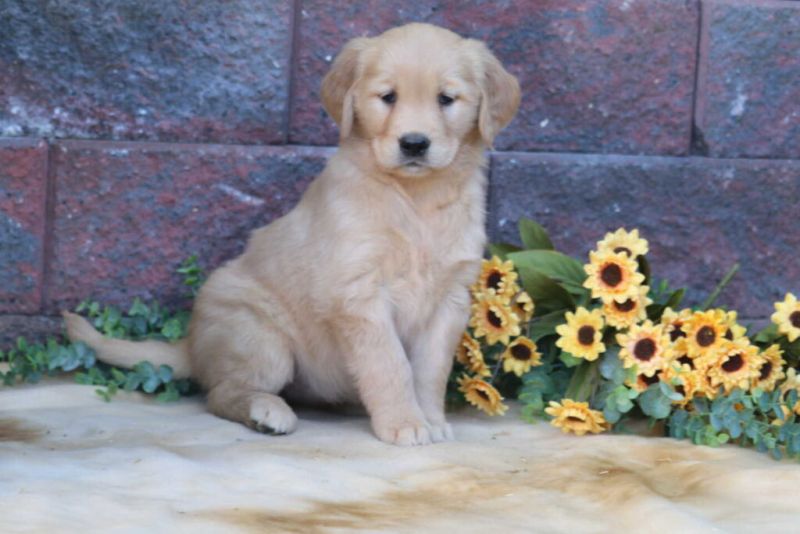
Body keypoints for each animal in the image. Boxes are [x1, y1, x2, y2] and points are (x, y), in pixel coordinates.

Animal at [65, 22, 520, 448]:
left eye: (446, 99)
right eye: (387, 97)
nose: (414, 144)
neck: (416, 199)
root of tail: (192, 344)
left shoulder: (450, 299)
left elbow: (430, 370)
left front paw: (431, 420)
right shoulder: (360, 295)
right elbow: (390, 365)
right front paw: (405, 423)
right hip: (262, 339)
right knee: (220, 393)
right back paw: (267, 411)